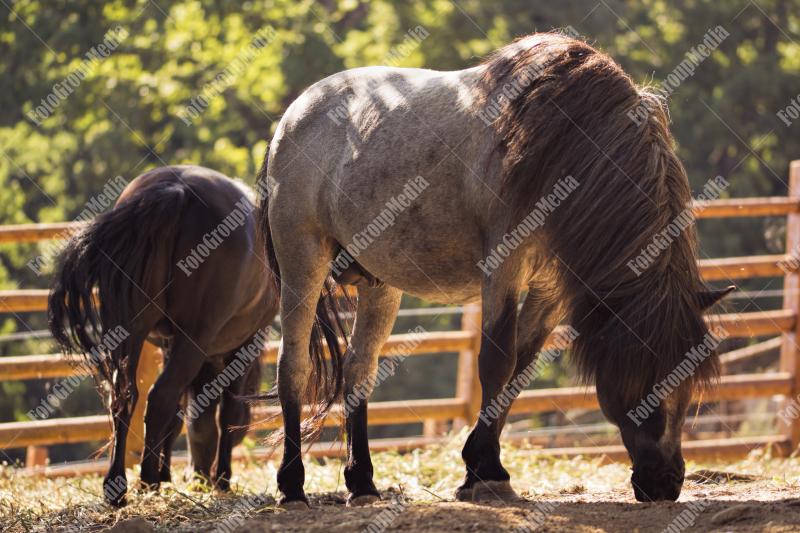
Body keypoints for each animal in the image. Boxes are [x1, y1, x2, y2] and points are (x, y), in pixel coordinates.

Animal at [258, 31, 733, 507]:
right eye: (641, 369)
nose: (666, 482)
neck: (564, 147)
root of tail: (293, 115)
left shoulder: (549, 287)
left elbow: (520, 366)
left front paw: (478, 466)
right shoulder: (504, 264)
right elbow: (497, 361)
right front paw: (487, 473)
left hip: (380, 282)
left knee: (359, 369)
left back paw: (362, 482)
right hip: (302, 261)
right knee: (293, 365)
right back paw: (292, 485)